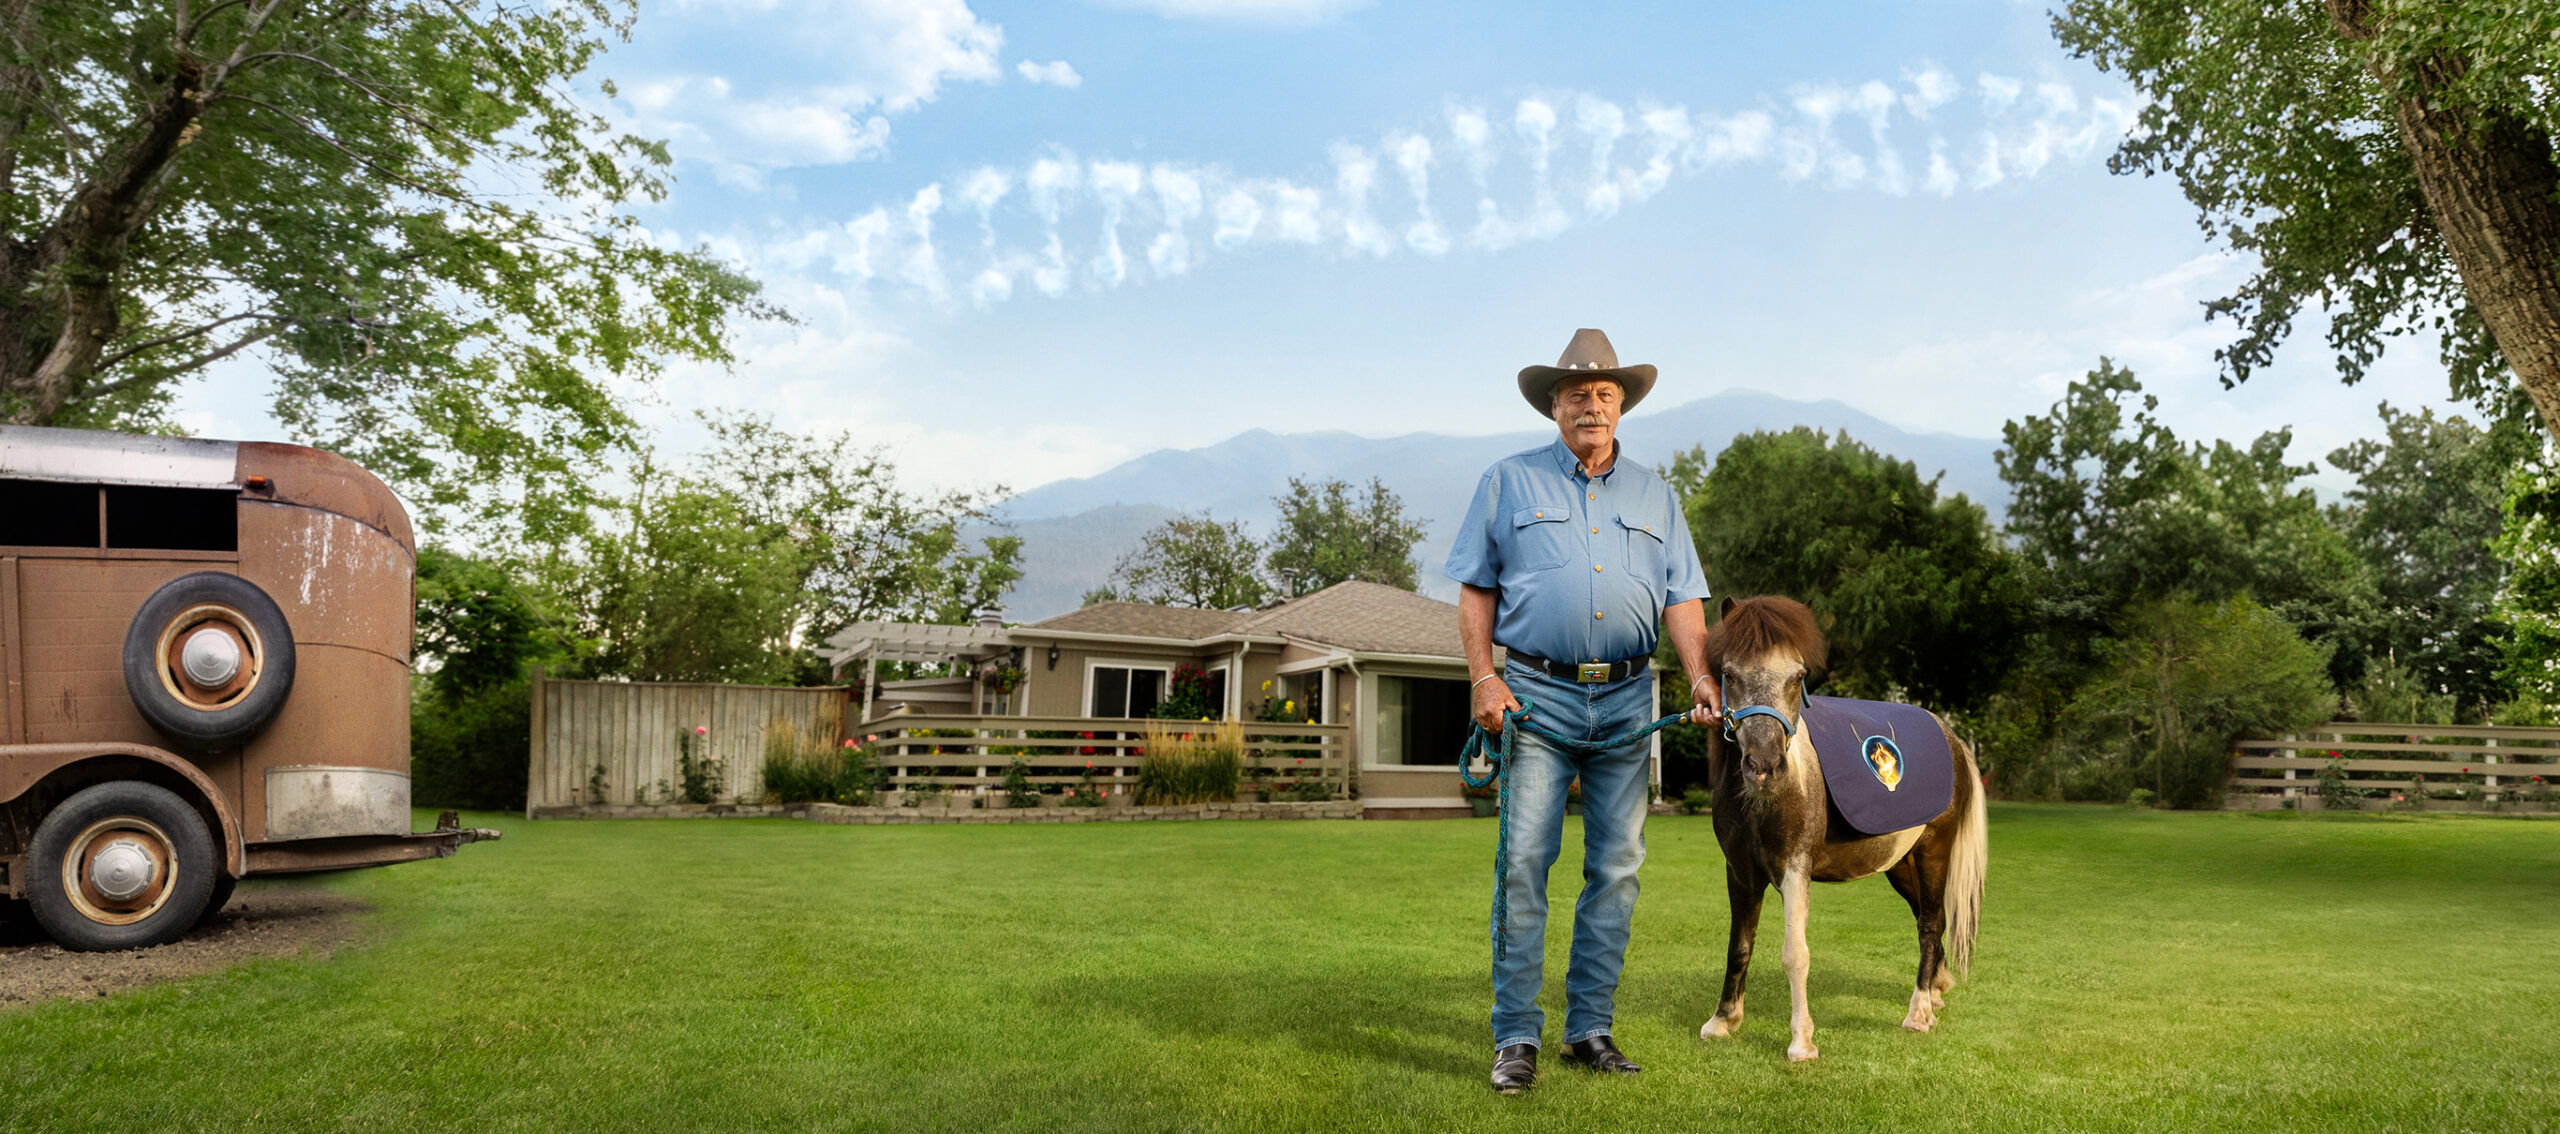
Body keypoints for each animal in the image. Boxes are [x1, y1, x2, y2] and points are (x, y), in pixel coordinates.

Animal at [1710, 598, 1986, 1059]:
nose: (1764, 766)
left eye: (1798, 676)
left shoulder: (1794, 872)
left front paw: (1802, 1042)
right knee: (1932, 920)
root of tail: (1952, 738)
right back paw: (1935, 992)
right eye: (1729, 674)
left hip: (1934, 852)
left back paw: (1919, 1012)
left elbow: (1795, 954)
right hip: (1901, 866)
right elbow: (1739, 946)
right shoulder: (1741, 874)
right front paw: (1723, 1021)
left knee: (1930, 924)